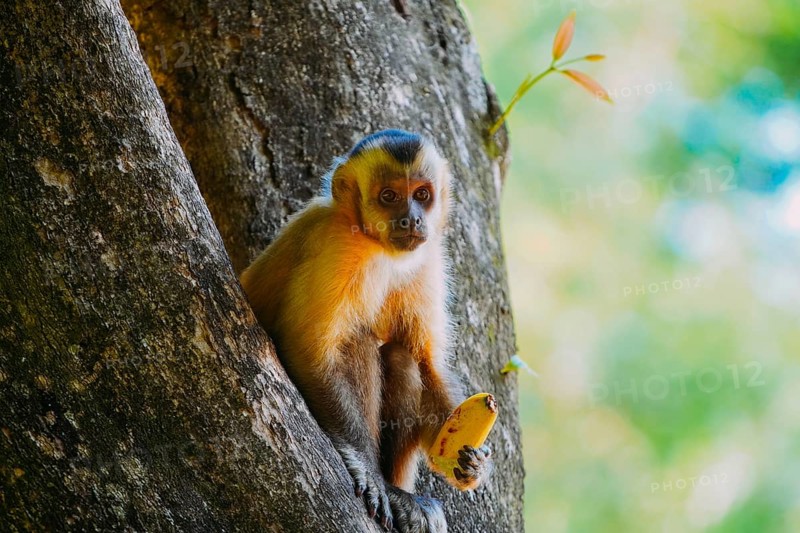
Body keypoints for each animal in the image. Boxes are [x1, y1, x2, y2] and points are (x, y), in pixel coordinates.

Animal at [240, 130, 493, 532]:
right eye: (388, 196)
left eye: (422, 194)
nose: (411, 219)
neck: (377, 248)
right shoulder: (336, 244)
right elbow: (308, 350)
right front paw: (363, 463)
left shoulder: (428, 259)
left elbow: (427, 365)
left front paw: (473, 464)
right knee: (357, 341)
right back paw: (391, 491)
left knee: (401, 358)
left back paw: (401, 494)